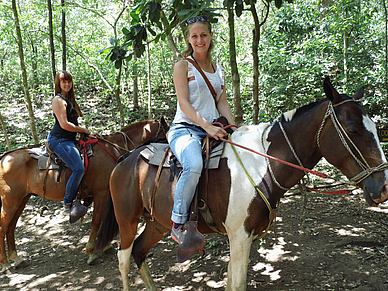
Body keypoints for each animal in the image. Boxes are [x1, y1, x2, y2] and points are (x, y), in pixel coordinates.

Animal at [0, 117, 168, 272]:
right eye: (166, 133)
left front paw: (104, 247)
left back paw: (16, 259)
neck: (113, 149)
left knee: (11, 226)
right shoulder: (102, 193)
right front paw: (91, 252)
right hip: (10, 201)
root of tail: (4, 158)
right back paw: (5, 263)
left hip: (22, 199)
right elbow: (97, 221)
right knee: (3, 226)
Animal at [96, 78, 388, 291]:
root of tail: (124, 159)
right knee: (124, 259)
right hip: (127, 220)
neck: (263, 163)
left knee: (139, 252)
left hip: (157, 221)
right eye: (352, 129)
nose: (382, 188)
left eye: (375, 128)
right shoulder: (239, 236)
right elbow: (237, 284)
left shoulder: (244, 238)